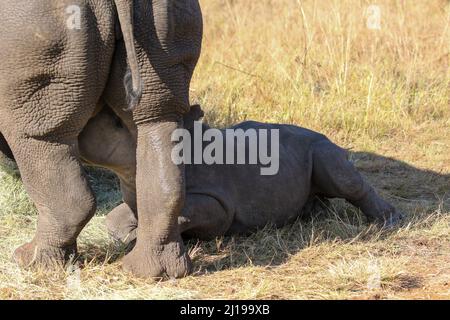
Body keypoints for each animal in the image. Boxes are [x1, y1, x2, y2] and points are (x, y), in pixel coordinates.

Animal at [0, 0, 202, 278]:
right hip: (167, 13)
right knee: (155, 120)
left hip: (30, 25)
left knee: (39, 137)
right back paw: (150, 270)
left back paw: (30, 262)